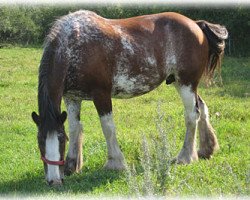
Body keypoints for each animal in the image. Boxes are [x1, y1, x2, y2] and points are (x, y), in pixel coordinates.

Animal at [31, 10, 229, 185]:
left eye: (60, 140)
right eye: (40, 140)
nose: (54, 181)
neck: (74, 45)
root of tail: (196, 25)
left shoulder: (101, 94)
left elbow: (108, 128)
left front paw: (115, 163)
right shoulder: (72, 97)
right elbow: (75, 128)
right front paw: (72, 165)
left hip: (185, 83)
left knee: (191, 116)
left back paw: (185, 156)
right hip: (184, 83)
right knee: (201, 107)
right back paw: (206, 149)